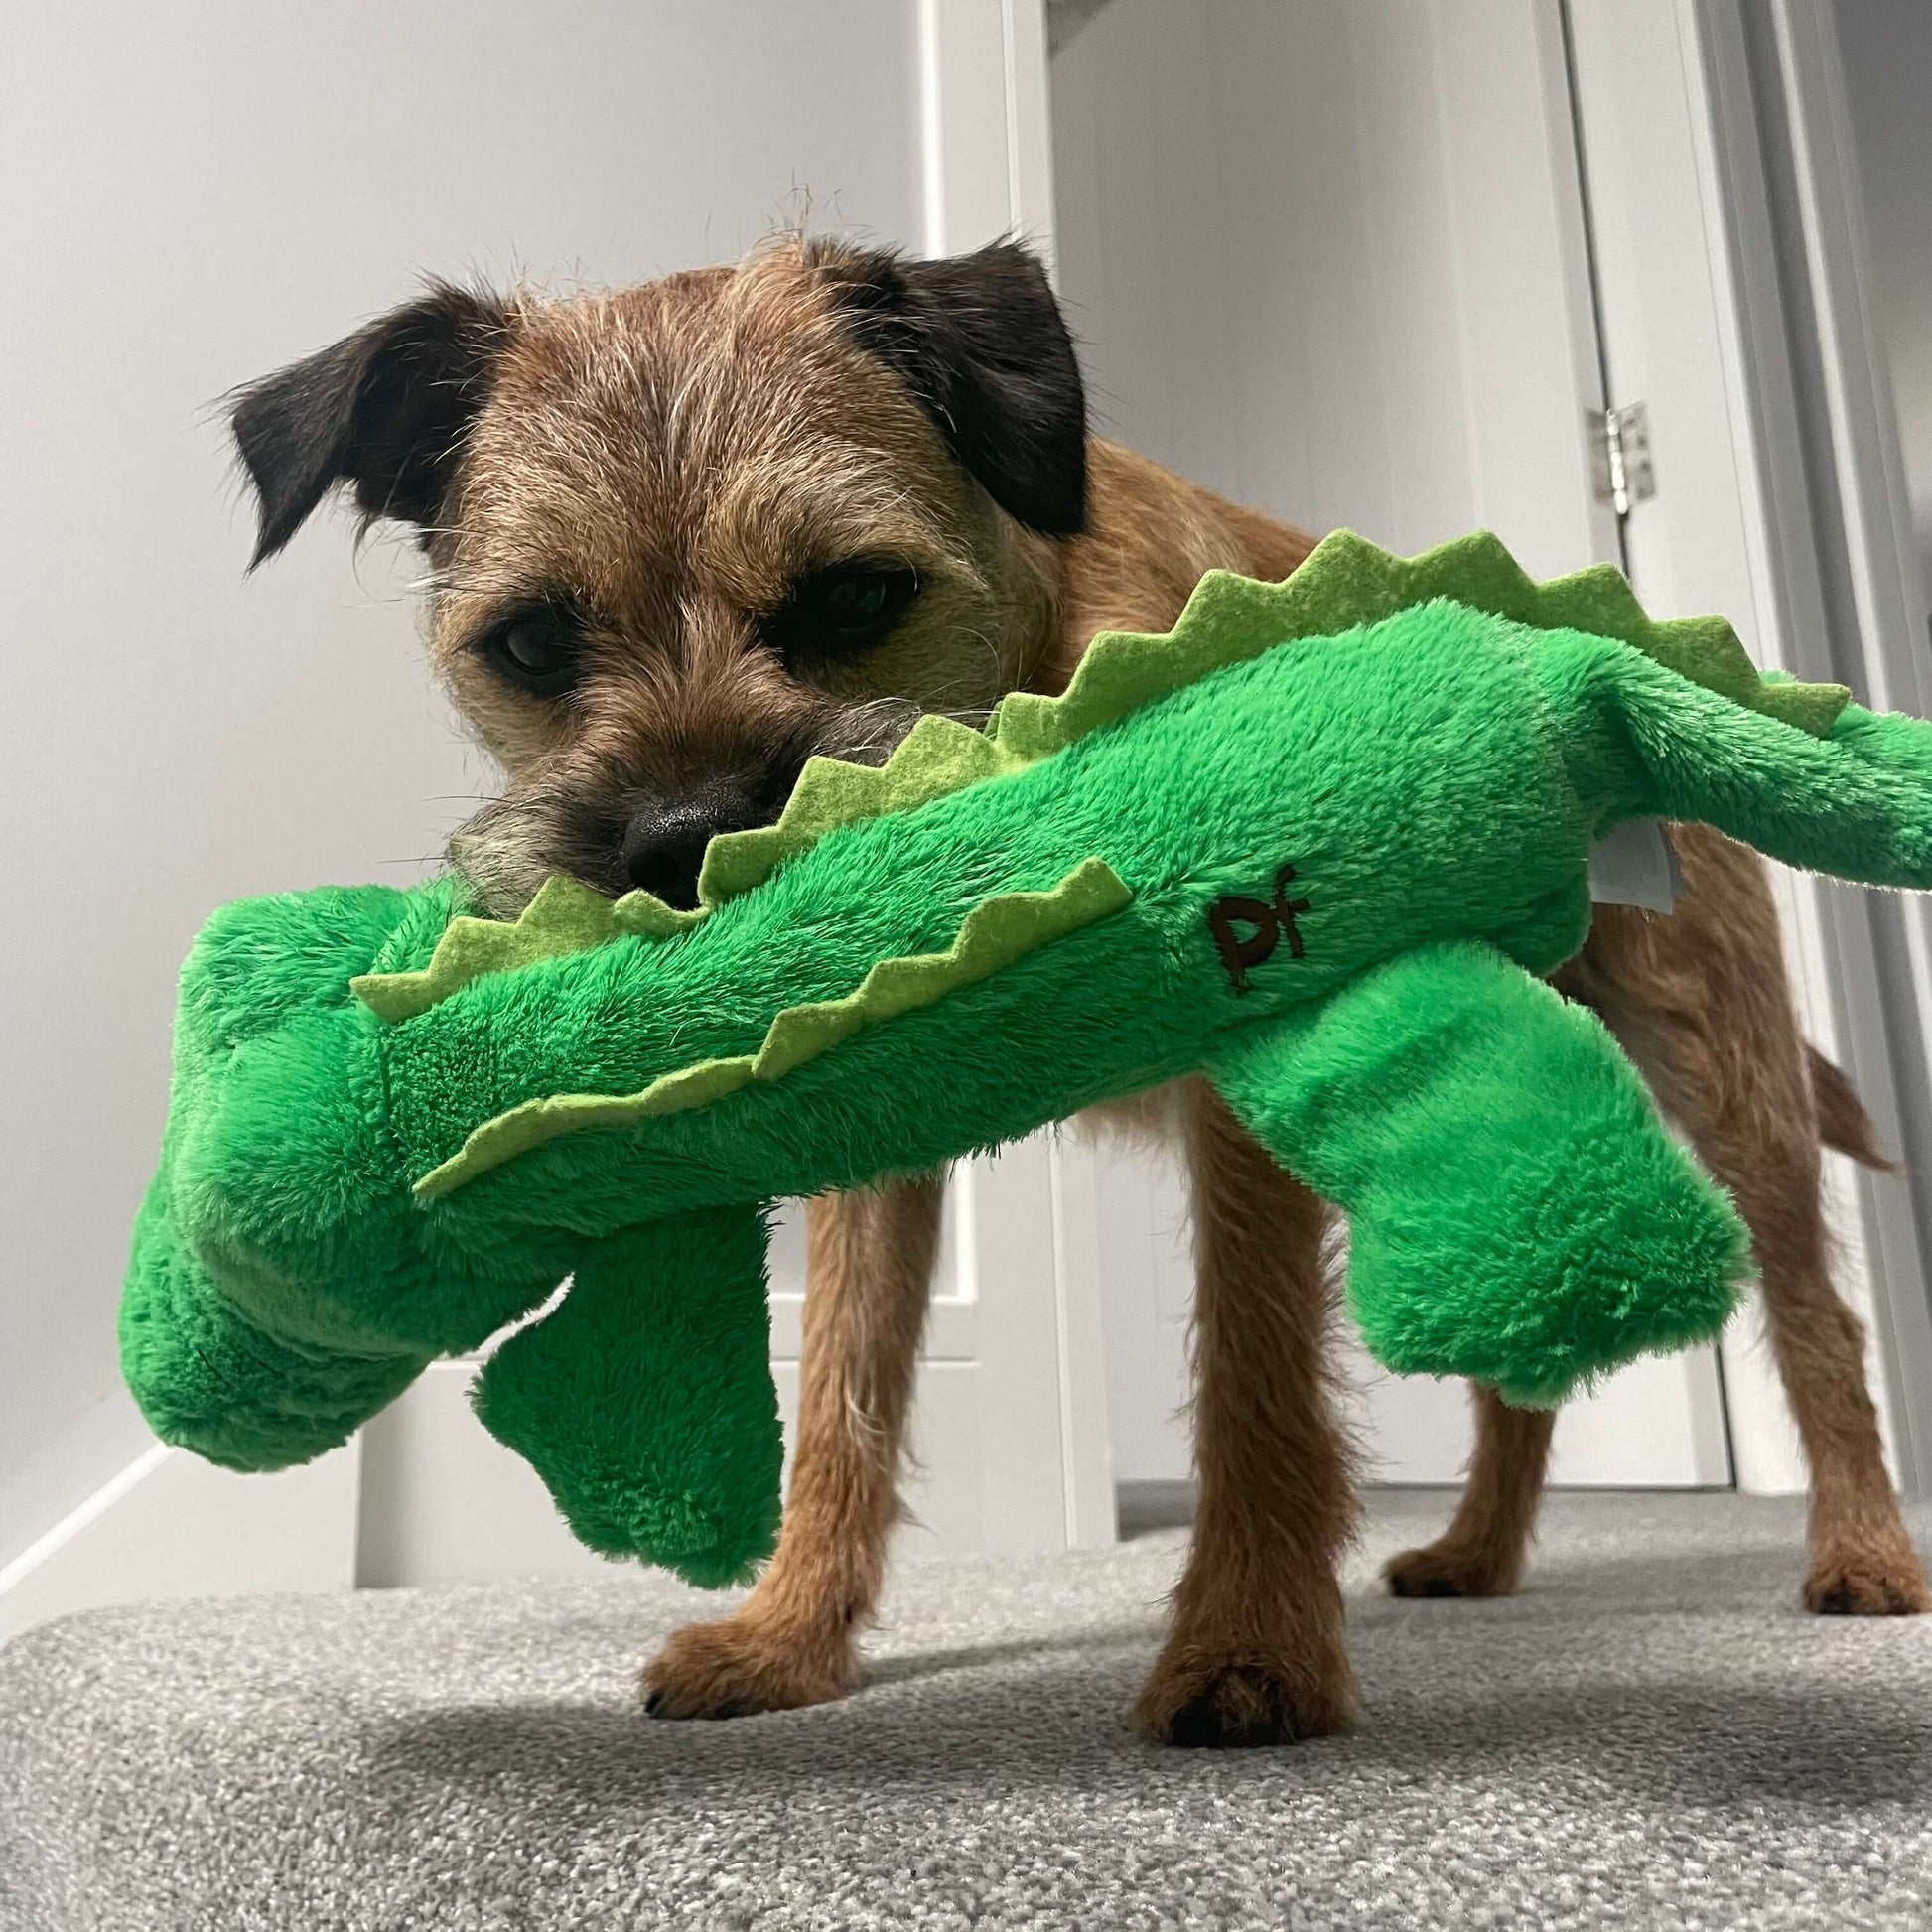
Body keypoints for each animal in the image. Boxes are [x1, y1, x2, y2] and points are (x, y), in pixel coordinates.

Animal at [233, 233, 1924, 1746]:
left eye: (854, 597)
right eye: (531, 641)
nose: (680, 838)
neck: (1026, 684)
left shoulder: (1245, 1099)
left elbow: (1254, 1372)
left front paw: (1249, 1650)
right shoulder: (870, 1138)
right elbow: (843, 1376)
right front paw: (790, 1634)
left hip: (1723, 1060)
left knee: (1815, 1311)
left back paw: (1860, 1549)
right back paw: (1477, 1551)